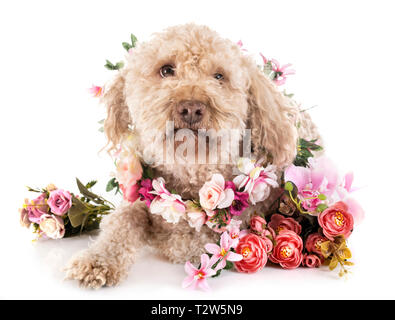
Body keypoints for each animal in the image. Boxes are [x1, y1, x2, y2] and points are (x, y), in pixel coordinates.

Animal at [64, 22, 318, 288]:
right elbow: (120, 223)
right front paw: (97, 259)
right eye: (166, 70)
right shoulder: (134, 202)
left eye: (219, 77)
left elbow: (178, 240)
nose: (191, 108)